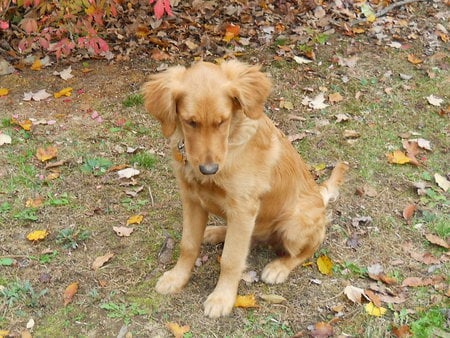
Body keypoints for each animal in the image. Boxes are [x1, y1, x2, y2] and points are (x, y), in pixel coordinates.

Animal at [142, 60, 346, 316]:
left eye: (222, 121)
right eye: (191, 122)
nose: (208, 169)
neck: (230, 144)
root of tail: (320, 195)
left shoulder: (242, 208)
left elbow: (231, 259)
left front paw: (222, 298)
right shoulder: (191, 199)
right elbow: (188, 245)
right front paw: (176, 278)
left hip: (294, 223)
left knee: (309, 248)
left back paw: (279, 267)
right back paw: (215, 232)